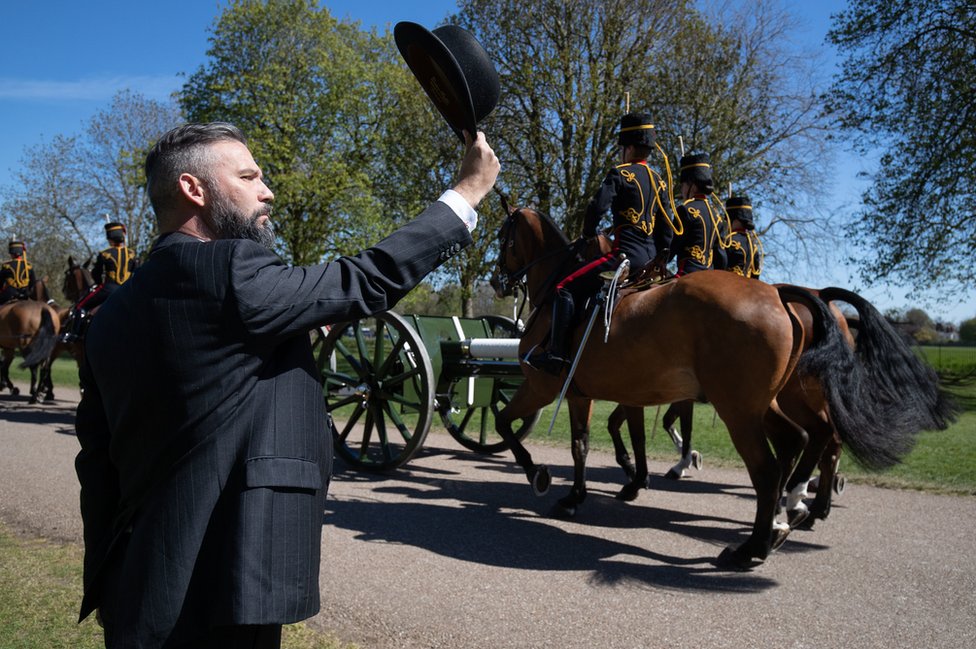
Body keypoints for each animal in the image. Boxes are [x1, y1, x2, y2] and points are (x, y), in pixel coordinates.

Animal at [492, 208, 940, 568]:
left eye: (503, 236)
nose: (498, 280)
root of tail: (782, 295)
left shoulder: (544, 387)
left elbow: (510, 425)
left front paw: (541, 475)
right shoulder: (592, 394)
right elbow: (594, 441)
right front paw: (603, 488)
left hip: (742, 410)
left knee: (778, 463)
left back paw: (756, 545)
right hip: (766, 404)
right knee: (803, 441)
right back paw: (788, 516)